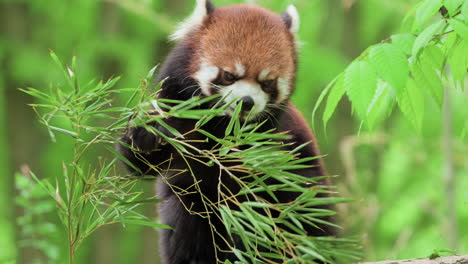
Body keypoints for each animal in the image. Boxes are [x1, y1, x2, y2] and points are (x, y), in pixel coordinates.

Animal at [119, 1, 332, 262]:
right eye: (229, 75)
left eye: (267, 83)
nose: (246, 102)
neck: (221, 124)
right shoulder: (174, 104)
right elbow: (139, 163)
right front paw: (145, 135)